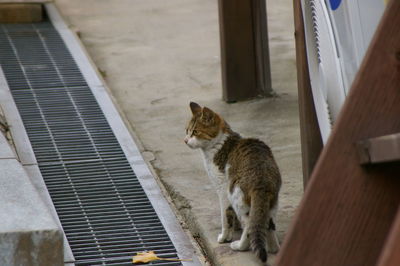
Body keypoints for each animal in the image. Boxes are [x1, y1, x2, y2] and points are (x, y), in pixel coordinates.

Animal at [184, 103, 282, 262]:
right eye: (187, 131)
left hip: (235, 193)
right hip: (271, 202)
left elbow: (226, 217)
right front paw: (236, 227)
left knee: (249, 225)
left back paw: (239, 246)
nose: (185, 140)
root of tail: (261, 179)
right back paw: (273, 248)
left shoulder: (222, 189)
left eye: (195, 131)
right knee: (267, 223)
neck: (218, 144)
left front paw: (225, 237)